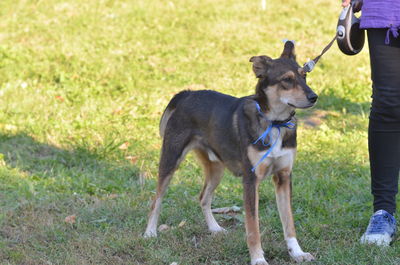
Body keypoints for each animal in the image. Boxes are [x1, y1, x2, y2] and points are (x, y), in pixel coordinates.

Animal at [144, 41, 316, 264]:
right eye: (287, 79)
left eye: (304, 76)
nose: (314, 97)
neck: (274, 123)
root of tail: (188, 93)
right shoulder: (251, 181)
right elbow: (253, 227)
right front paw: (258, 258)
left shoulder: (284, 178)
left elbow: (289, 223)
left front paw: (297, 253)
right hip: (170, 160)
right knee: (156, 200)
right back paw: (150, 232)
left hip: (216, 169)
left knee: (203, 198)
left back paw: (215, 228)